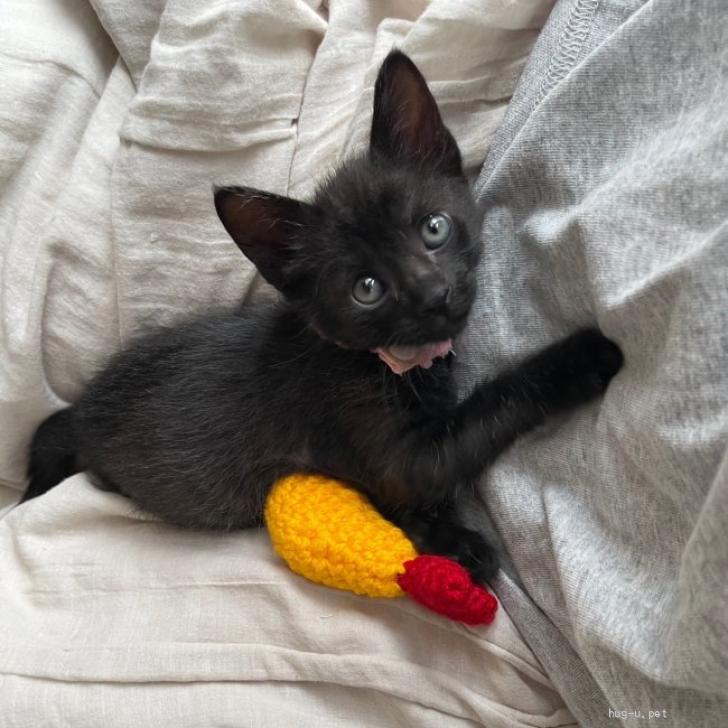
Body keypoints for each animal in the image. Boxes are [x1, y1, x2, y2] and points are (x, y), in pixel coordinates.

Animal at [23, 51, 622, 583]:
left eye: (434, 228)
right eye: (366, 289)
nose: (433, 294)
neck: (380, 363)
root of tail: (82, 411)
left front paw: (448, 541)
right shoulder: (392, 452)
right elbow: (480, 415)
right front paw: (582, 359)